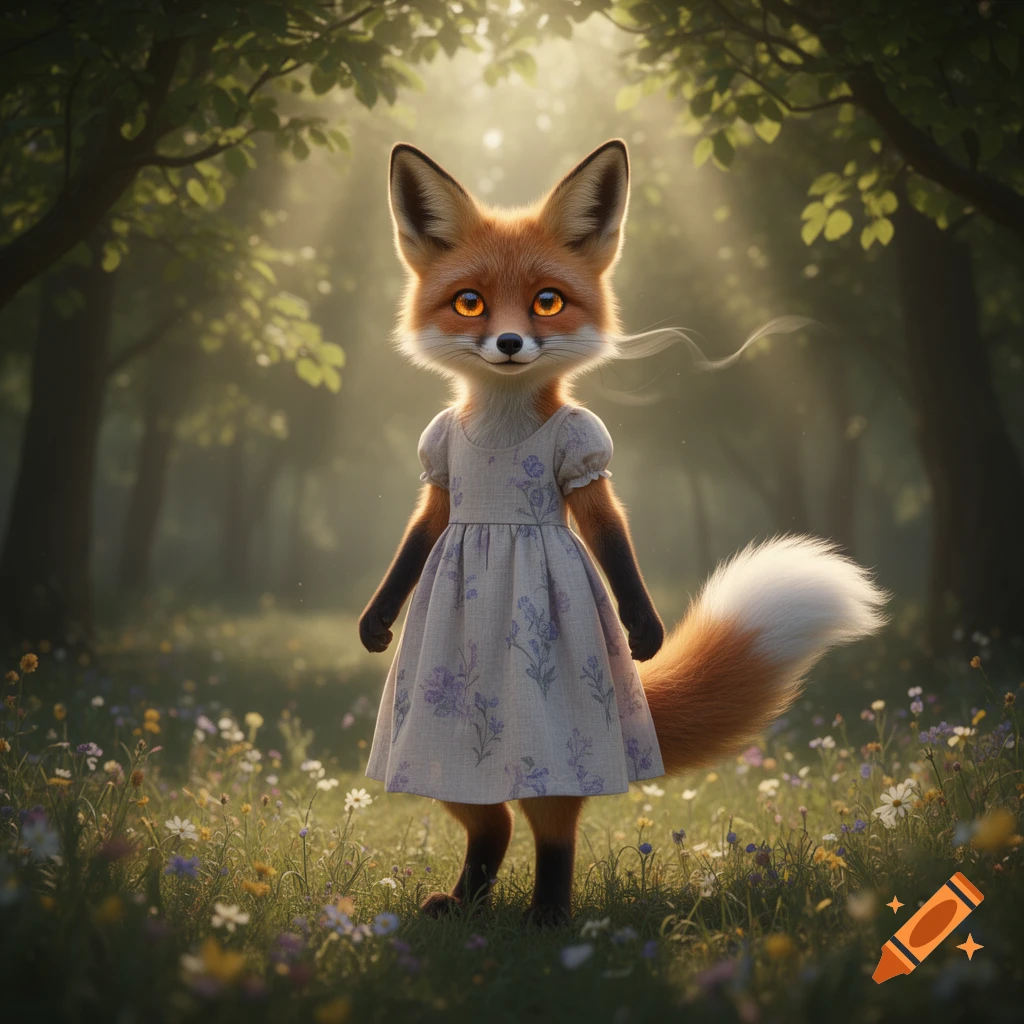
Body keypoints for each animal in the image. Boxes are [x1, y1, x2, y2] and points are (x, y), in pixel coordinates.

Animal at [358, 139, 888, 925]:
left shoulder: (584, 458)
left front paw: (644, 627)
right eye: (469, 303)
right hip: (434, 760)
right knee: (493, 822)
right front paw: (374, 622)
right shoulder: (443, 469)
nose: (509, 343)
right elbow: (423, 533)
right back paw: (467, 900)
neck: (501, 429)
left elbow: (608, 532)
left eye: (547, 301)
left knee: (552, 829)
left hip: (556, 767)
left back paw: (548, 916)